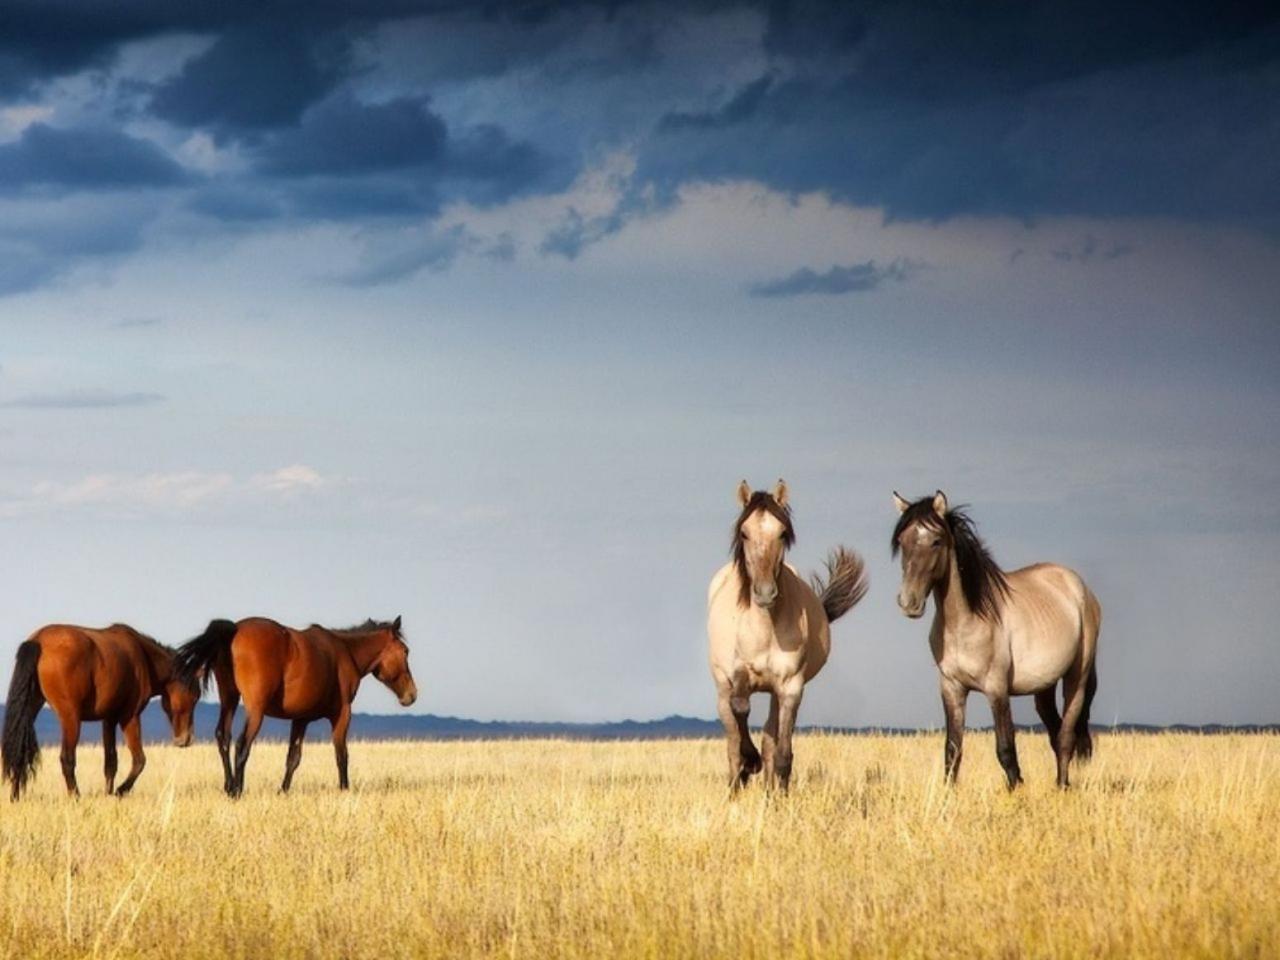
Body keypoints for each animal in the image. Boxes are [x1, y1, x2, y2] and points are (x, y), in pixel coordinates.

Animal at [1, 619, 199, 798]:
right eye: (195, 696)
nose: (186, 739)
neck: (143, 657)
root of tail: (39, 640)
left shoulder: (108, 719)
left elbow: (111, 762)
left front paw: (108, 793)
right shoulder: (130, 716)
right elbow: (139, 760)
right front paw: (120, 790)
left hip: (31, 709)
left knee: (20, 751)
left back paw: (15, 797)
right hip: (70, 718)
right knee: (67, 759)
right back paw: (76, 797)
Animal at [172, 616, 414, 798]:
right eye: (405, 651)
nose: (411, 695)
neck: (345, 652)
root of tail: (235, 629)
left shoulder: (300, 719)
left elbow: (293, 758)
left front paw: (283, 791)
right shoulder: (342, 714)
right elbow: (341, 754)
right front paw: (345, 789)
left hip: (229, 700)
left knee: (223, 737)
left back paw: (229, 786)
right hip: (255, 710)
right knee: (242, 745)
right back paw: (237, 790)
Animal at [706, 478, 875, 793]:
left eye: (782, 533)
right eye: (744, 533)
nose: (764, 593)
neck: (764, 628)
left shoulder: (790, 687)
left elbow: (782, 753)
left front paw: (779, 795)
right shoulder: (738, 675)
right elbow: (741, 710)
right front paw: (750, 763)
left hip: (775, 694)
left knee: (770, 740)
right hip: (722, 688)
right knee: (733, 743)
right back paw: (738, 783)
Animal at [890, 491, 1100, 793]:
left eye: (936, 541)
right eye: (902, 541)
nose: (909, 603)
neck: (966, 622)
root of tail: (1078, 586)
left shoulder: (997, 689)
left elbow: (1006, 748)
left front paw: (1017, 791)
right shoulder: (951, 688)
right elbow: (952, 750)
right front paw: (948, 795)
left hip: (1077, 678)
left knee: (1066, 737)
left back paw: (1062, 787)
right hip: (1044, 687)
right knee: (1055, 731)